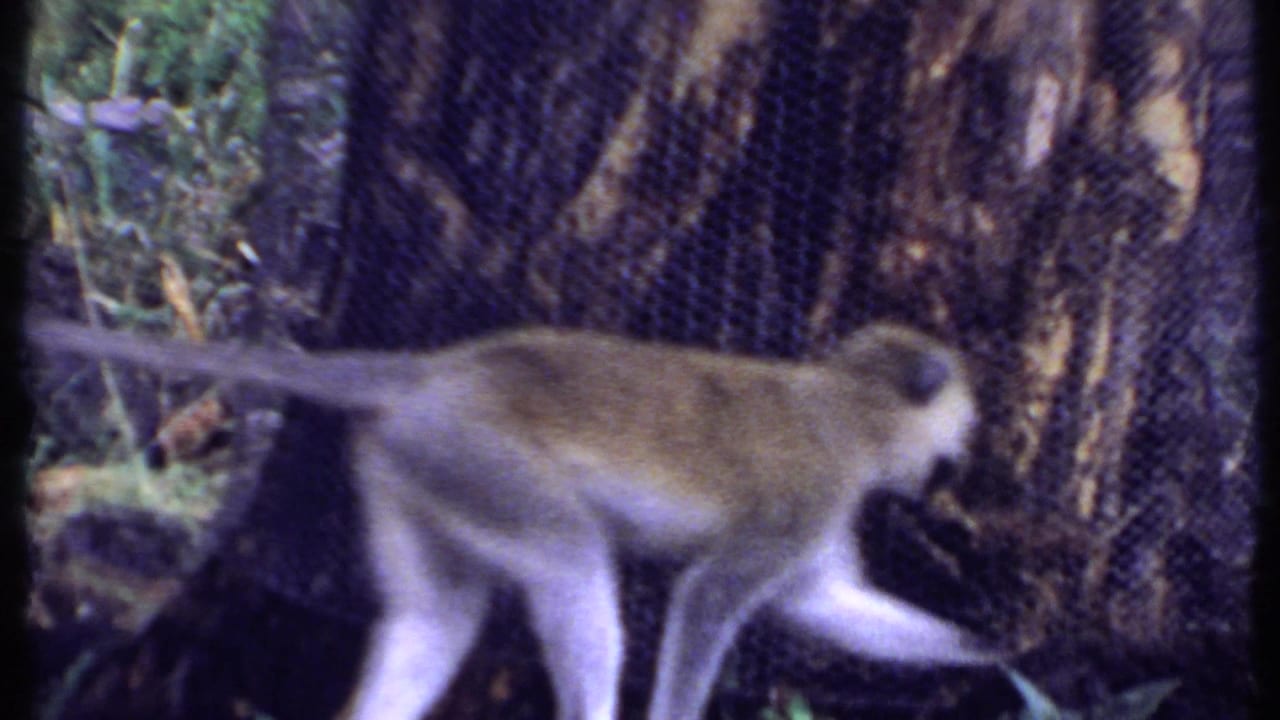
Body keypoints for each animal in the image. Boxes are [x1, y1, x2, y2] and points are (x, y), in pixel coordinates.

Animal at [26, 316, 1003, 720]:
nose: (956, 458)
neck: (845, 408)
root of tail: (437, 373)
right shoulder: (811, 498)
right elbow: (709, 600)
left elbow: (821, 606)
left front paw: (1009, 664)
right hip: (476, 458)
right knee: (570, 563)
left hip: (412, 463)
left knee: (437, 618)